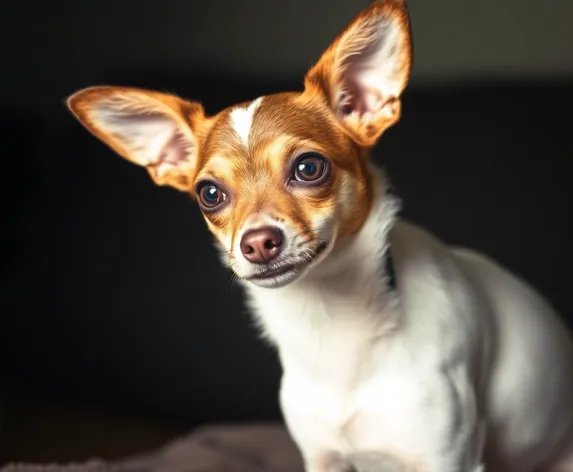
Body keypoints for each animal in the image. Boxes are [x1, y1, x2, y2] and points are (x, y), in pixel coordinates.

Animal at [67, 1, 572, 470]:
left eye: (309, 168)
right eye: (209, 194)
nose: (258, 242)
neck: (329, 318)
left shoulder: (449, 458)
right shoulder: (323, 458)